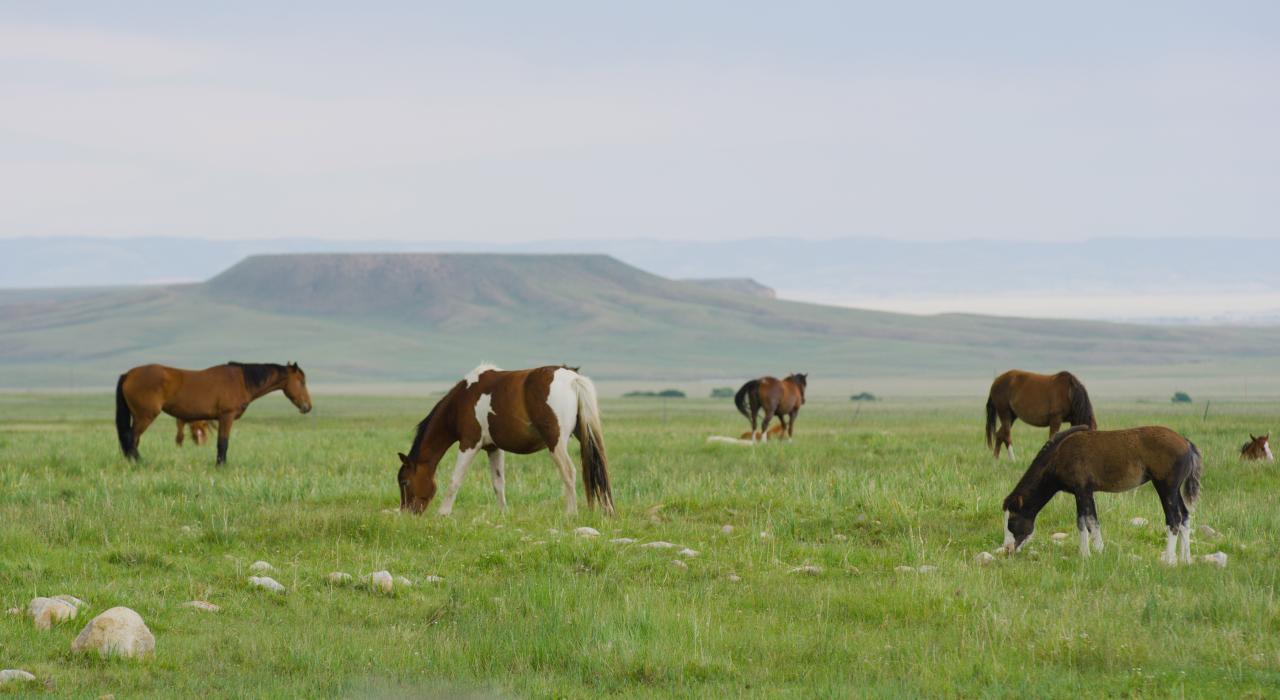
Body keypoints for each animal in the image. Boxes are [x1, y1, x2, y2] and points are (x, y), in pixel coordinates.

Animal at [116, 362, 311, 465]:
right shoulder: (226, 416)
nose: (308, 407)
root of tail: (129, 374)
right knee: (132, 438)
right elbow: (223, 443)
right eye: (301, 381)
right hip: (145, 416)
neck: (241, 380)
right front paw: (221, 466)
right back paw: (138, 463)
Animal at [397, 364, 613, 516]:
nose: (407, 513)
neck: (461, 400)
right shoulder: (494, 448)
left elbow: (455, 479)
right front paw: (503, 513)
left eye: (405, 482)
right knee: (597, 470)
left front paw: (443, 512)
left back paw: (571, 513)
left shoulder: (469, 444)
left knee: (569, 472)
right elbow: (498, 482)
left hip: (556, 443)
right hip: (585, 437)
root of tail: (573, 378)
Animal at [1000, 425, 1202, 565]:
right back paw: (1186, 559)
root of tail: (1186, 443)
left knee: (1174, 520)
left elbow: (1091, 521)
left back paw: (1169, 560)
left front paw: (1097, 551)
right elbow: (1082, 521)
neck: (1059, 455)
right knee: (1185, 517)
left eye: (1012, 520)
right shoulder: (1080, 493)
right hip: (1175, 490)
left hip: (1166, 487)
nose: (1007, 549)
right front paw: (1085, 553)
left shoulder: (1083, 491)